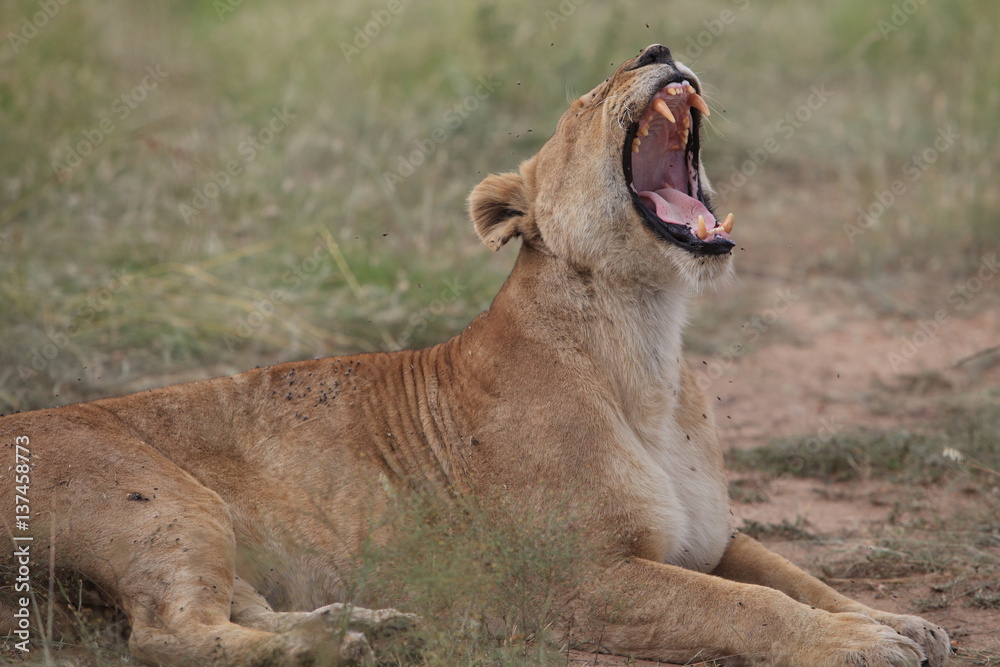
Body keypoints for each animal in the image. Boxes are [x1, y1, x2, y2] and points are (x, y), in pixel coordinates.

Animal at [1, 44, 950, 666]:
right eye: (586, 99)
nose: (657, 47)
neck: (649, 342)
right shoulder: (580, 578)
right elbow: (749, 606)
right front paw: (859, 641)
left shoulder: (710, 539)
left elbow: (794, 574)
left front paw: (897, 620)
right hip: (164, 503)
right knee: (168, 636)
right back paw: (335, 646)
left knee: (229, 611)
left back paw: (368, 626)